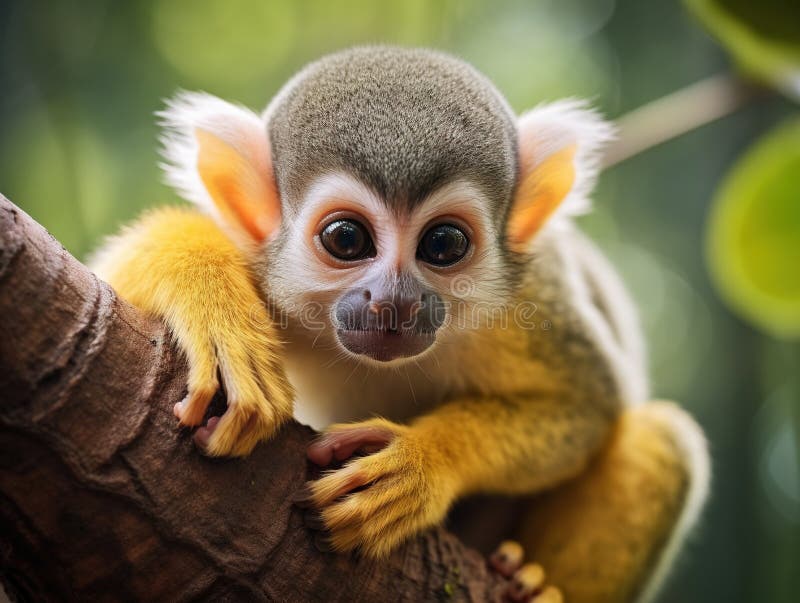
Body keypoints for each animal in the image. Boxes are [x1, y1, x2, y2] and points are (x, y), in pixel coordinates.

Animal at [90, 47, 710, 603]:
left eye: (443, 244)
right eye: (346, 238)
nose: (394, 303)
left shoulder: (530, 297)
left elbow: (587, 404)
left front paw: (423, 462)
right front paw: (206, 298)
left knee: (663, 436)